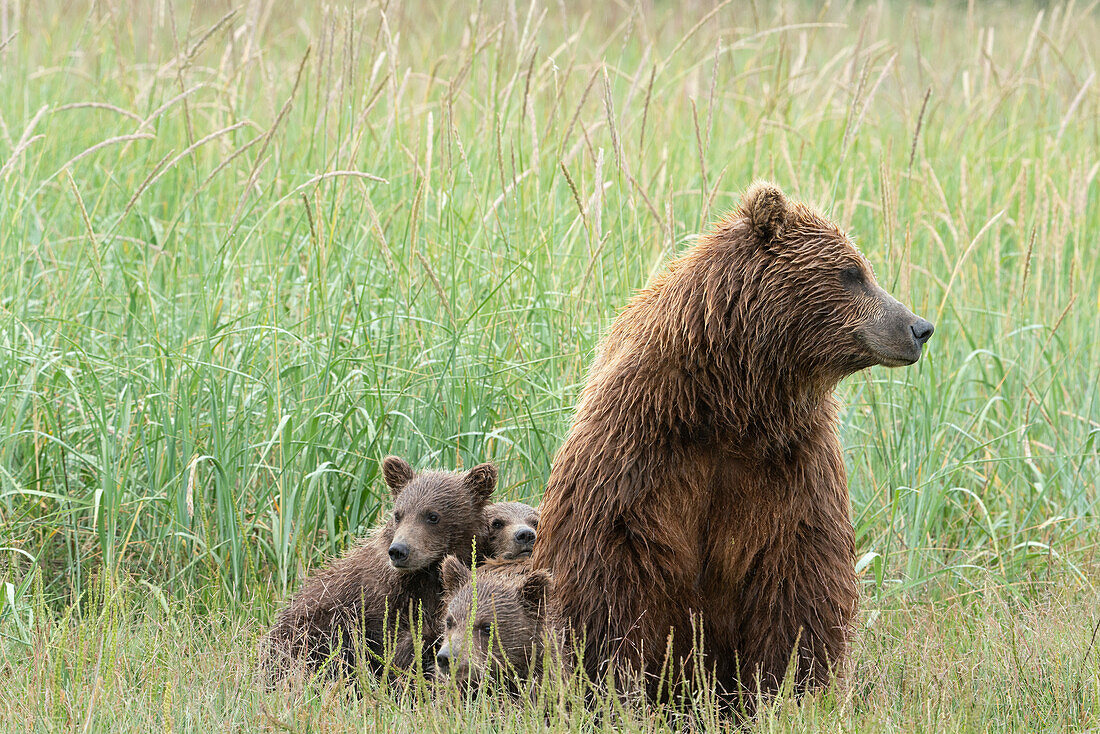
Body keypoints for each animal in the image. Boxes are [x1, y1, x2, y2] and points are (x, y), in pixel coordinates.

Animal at [532, 180, 937, 704]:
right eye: (853, 272)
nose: (919, 327)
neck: (731, 404)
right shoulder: (639, 447)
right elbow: (609, 568)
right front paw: (614, 681)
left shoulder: (791, 463)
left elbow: (800, 579)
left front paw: (787, 687)